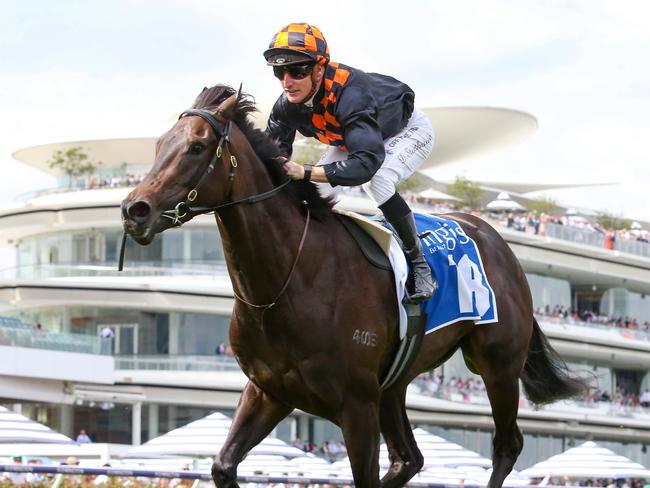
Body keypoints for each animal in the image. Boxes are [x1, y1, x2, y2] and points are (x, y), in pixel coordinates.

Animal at [121, 85, 588, 488]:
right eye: (160, 144)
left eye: (196, 147)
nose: (134, 210)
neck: (288, 281)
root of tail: (496, 239)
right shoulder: (269, 391)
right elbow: (222, 465)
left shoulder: (356, 405)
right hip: (395, 385)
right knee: (409, 459)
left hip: (498, 364)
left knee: (506, 446)